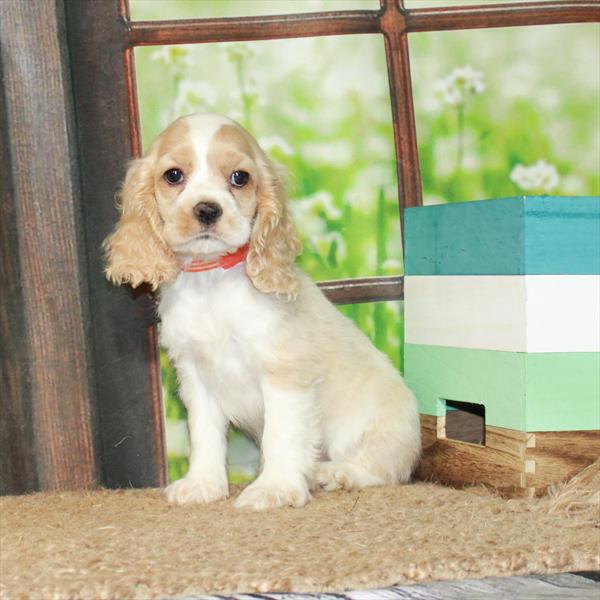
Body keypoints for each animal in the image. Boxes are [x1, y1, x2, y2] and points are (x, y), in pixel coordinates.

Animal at [104, 110, 422, 508]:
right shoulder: (196, 375)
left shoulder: (284, 373)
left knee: (384, 469)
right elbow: (204, 435)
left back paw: (335, 473)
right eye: (173, 175)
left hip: (373, 430)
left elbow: (281, 435)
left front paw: (275, 488)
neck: (212, 284)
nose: (207, 209)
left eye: (239, 177)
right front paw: (203, 484)